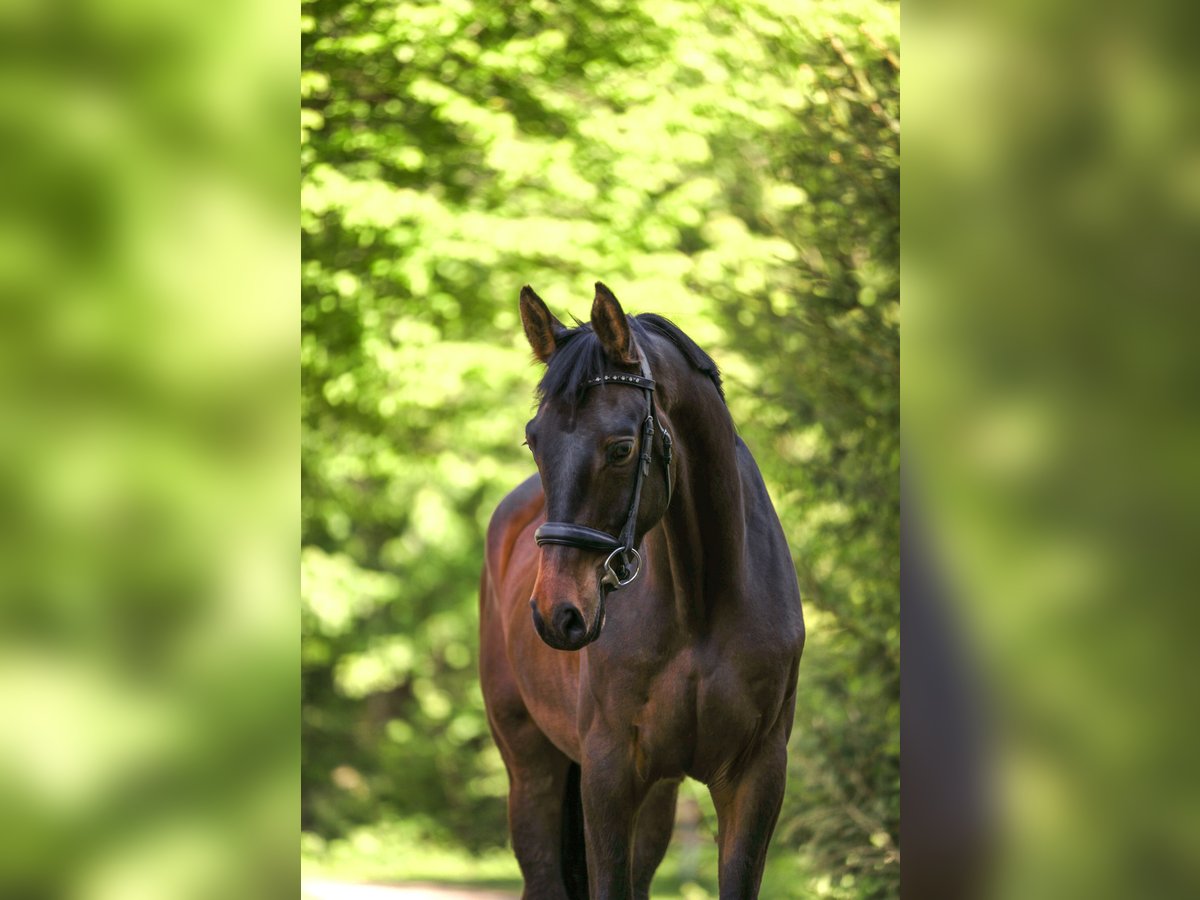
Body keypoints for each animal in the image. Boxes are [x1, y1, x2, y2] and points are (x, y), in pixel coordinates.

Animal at [480, 283, 805, 899]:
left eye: (622, 448)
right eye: (534, 441)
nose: (557, 614)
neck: (702, 606)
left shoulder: (756, 778)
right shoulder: (608, 776)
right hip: (529, 765)